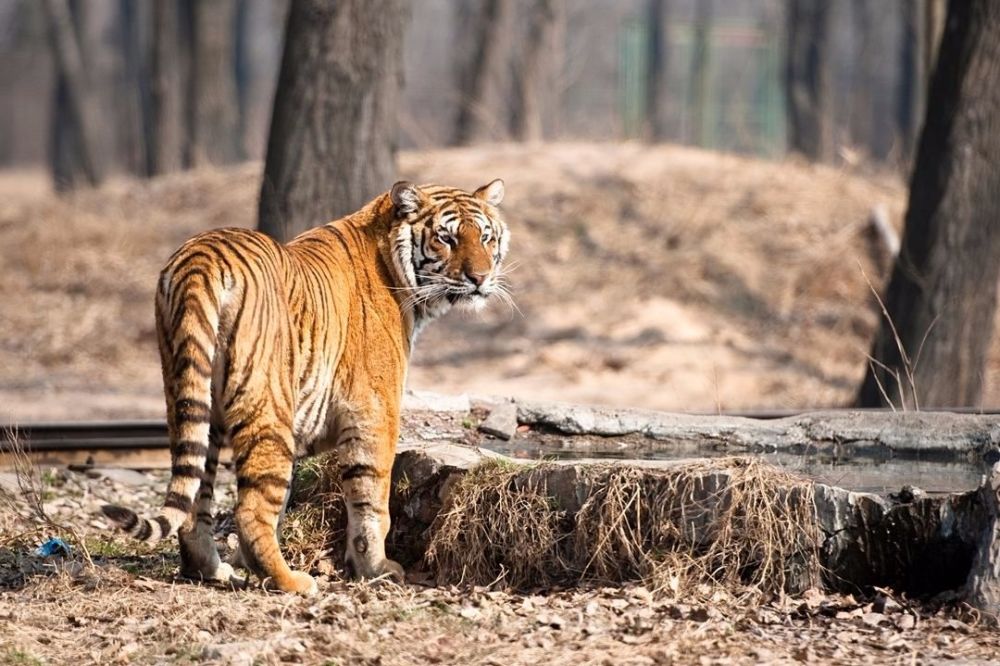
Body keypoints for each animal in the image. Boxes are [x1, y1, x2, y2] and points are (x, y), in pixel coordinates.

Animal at [101, 178, 508, 592]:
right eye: (447, 238)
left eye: (485, 237)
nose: (480, 278)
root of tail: (202, 258)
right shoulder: (376, 411)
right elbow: (372, 498)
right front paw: (377, 569)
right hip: (267, 407)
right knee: (249, 509)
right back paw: (291, 581)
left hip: (192, 399)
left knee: (196, 499)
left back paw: (214, 570)